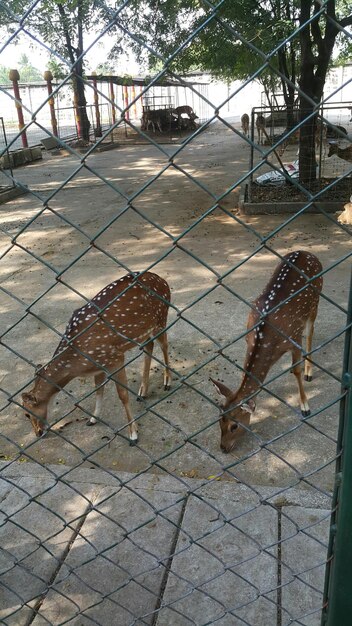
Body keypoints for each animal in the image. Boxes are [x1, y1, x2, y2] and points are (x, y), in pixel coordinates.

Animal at [21, 270, 172, 442]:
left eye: (27, 414)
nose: (38, 433)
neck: (76, 364)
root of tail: (163, 280)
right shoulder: (99, 365)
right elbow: (98, 390)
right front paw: (92, 419)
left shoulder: (115, 357)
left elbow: (122, 395)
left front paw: (133, 433)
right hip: (146, 330)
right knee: (149, 346)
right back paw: (143, 392)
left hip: (161, 317)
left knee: (164, 345)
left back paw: (167, 382)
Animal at [210, 250, 324, 454]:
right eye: (219, 420)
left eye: (234, 426)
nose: (223, 448)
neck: (266, 339)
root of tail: (308, 253)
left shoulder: (294, 338)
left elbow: (297, 370)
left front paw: (305, 406)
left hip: (315, 301)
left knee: (310, 333)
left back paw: (309, 372)